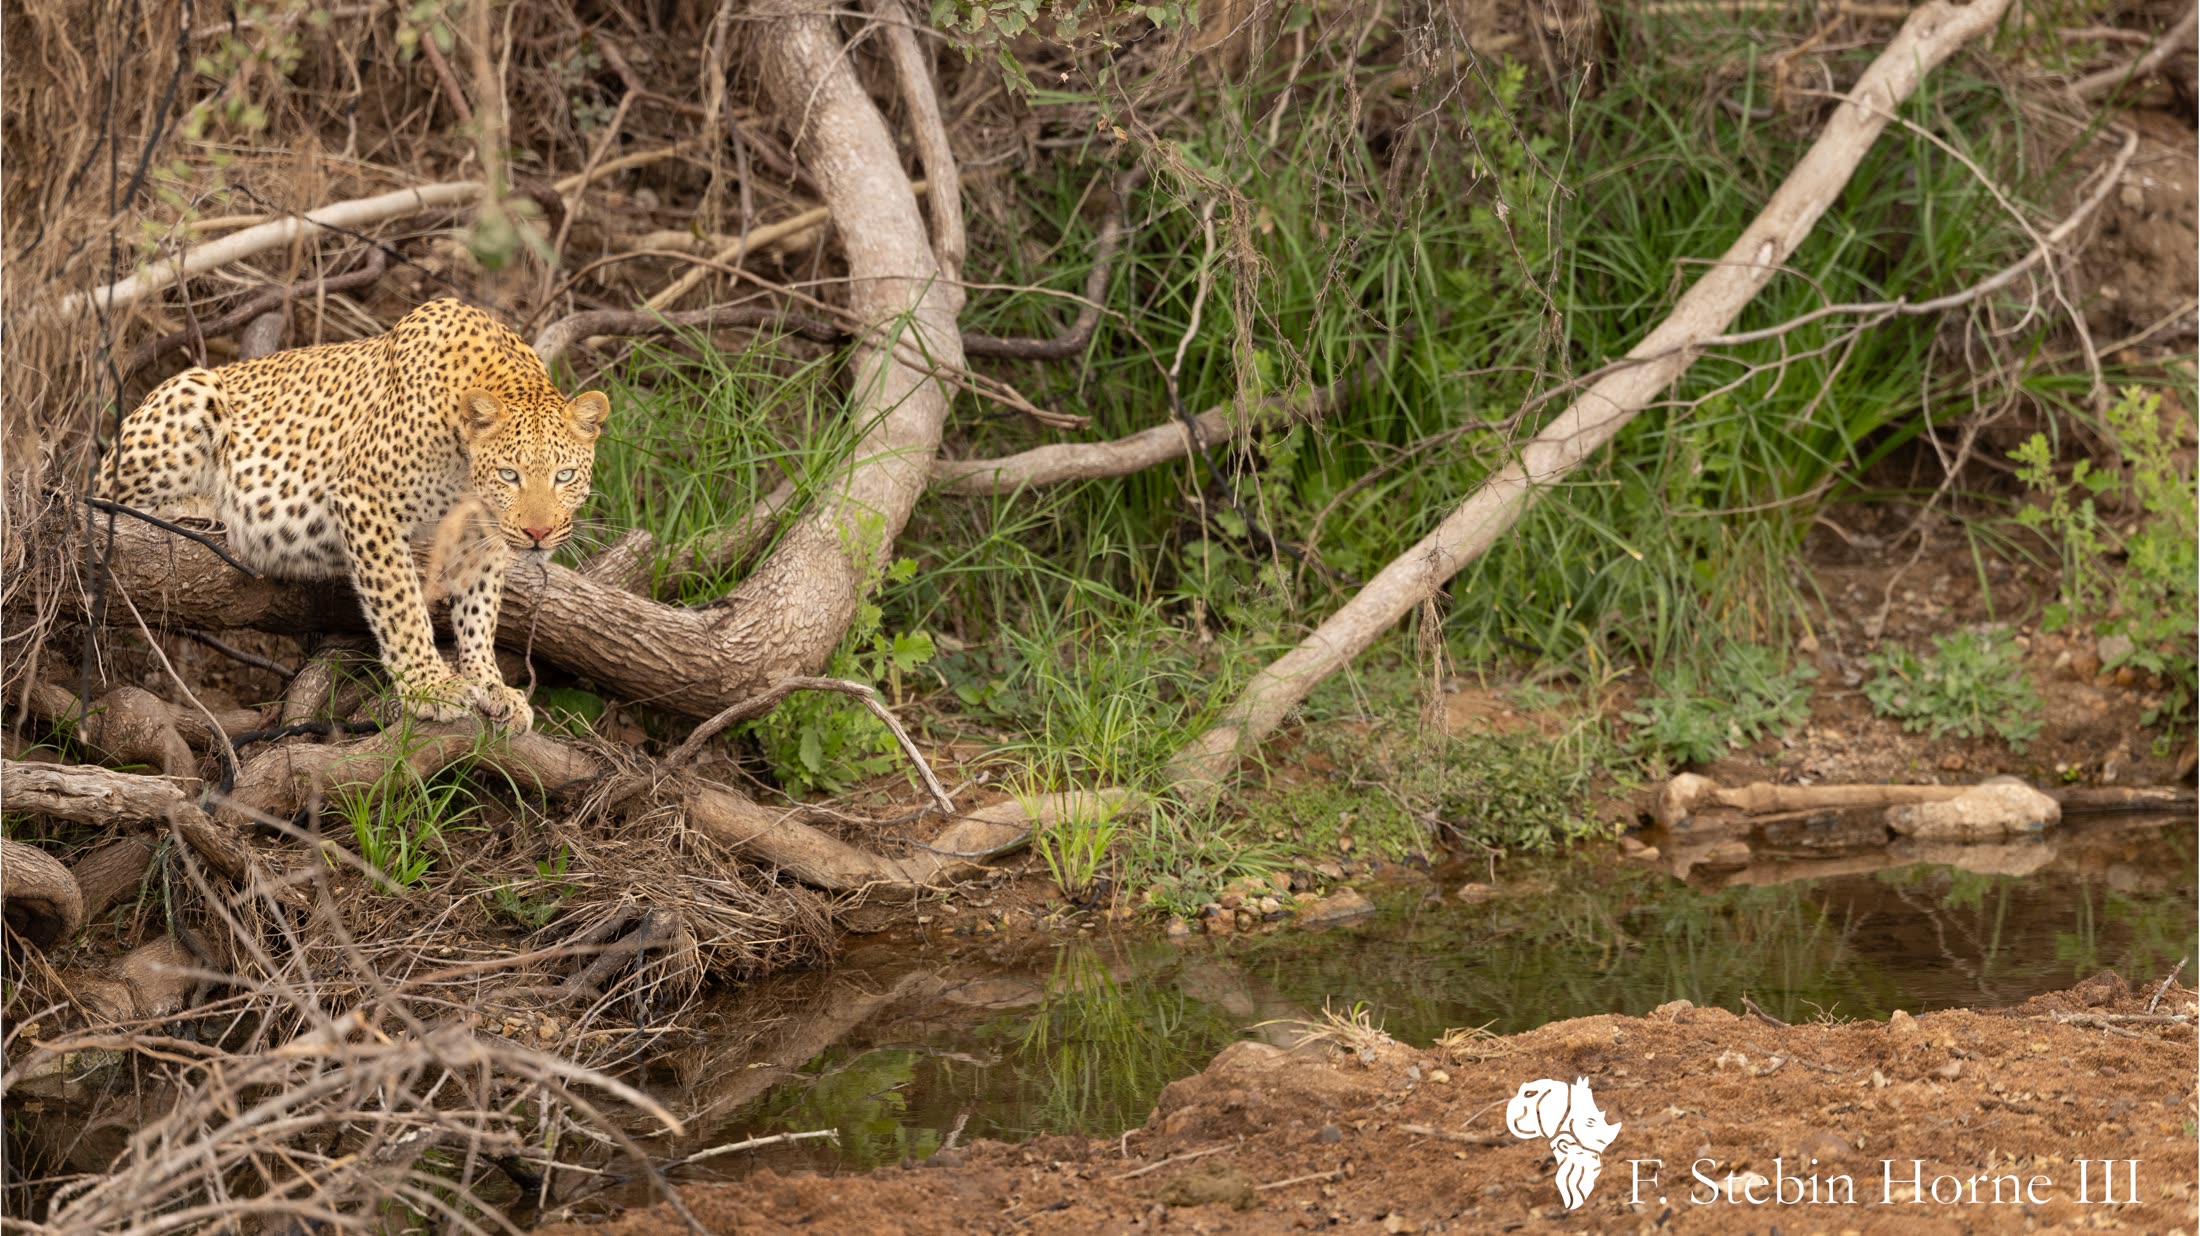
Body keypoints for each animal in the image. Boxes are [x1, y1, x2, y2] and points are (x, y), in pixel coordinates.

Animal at [98, 298, 611, 733]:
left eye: (564, 475)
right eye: (509, 474)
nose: (539, 532)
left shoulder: (481, 532)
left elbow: (479, 610)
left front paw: (490, 683)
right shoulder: (368, 500)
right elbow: (401, 603)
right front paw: (429, 687)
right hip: (192, 394)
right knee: (106, 497)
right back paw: (203, 505)